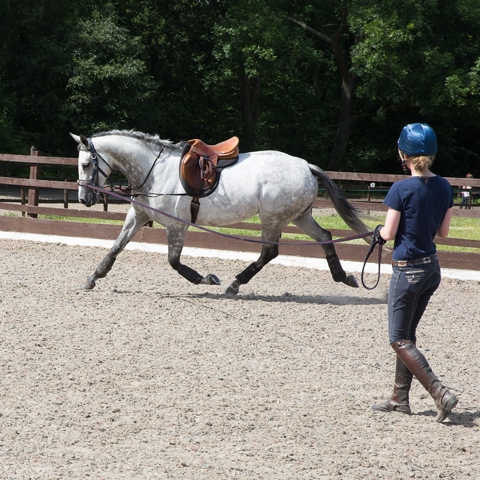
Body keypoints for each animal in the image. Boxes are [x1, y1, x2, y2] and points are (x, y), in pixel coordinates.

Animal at [71, 131, 372, 296]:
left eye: (86, 164)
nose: (84, 199)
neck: (154, 170)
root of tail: (306, 166)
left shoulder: (176, 226)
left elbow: (174, 262)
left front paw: (206, 279)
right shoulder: (138, 217)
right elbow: (115, 247)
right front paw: (92, 278)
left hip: (273, 218)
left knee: (269, 252)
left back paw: (235, 284)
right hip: (300, 216)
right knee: (324, 236)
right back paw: (343, 277)